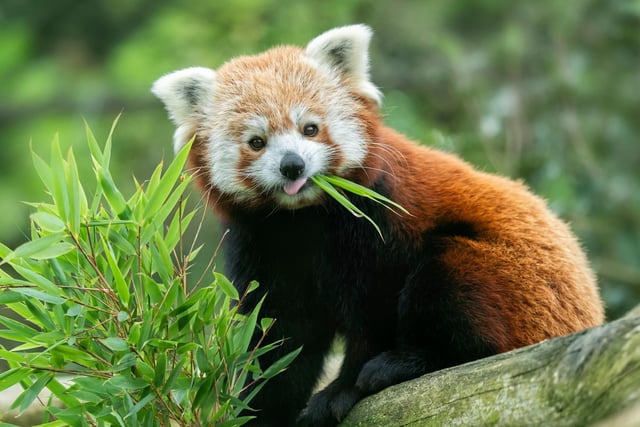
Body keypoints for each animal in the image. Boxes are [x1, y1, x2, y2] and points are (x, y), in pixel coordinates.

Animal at [154, 24, 604, 427]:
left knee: (454, 284)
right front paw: (257, 411)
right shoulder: (264, 245)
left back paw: (407, 363)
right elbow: (279, 336)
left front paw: (342, 390)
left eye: (310, 128)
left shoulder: (378, 217)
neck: (305, 217)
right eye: (256, 142)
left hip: (513, 284)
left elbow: (376, 310)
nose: (292, 165)